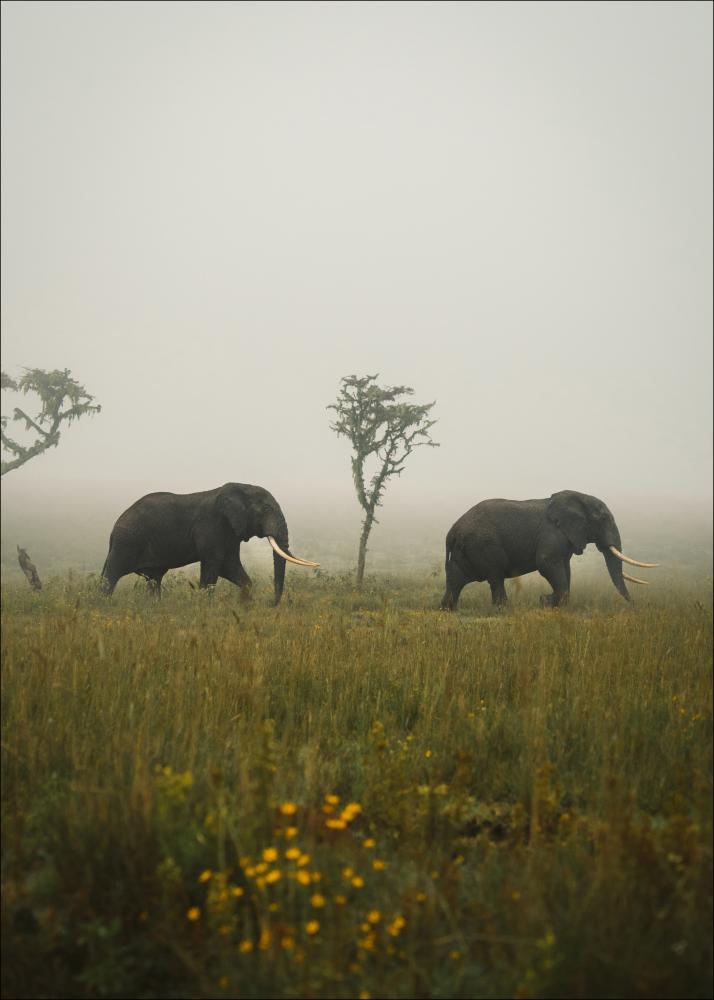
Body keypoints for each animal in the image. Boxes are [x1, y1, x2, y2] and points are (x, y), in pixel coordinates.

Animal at [101, 482, 318, 603]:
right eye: (265, 509)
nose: (270, 604)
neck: (240, 488)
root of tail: (113, 527)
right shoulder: (212, 526)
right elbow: (213, 567)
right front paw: (207, 607)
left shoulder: (231, 532)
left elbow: (230, 567)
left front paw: (246, 605)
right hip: (127, 541)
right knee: (110, 576)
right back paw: (103, 604)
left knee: (154, 580)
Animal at [440, 490, 658, 609]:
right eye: (603, 519)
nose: (636, 605)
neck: (579, 498)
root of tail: (451, 532)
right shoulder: (551, 532)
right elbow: (546, 563)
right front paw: (545, 601)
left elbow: (565, 568)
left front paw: (550, 603)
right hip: (484, 546)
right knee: (495, 577)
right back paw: (502, 610)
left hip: (465, 550)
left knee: (456, 579)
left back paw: (447, 609)